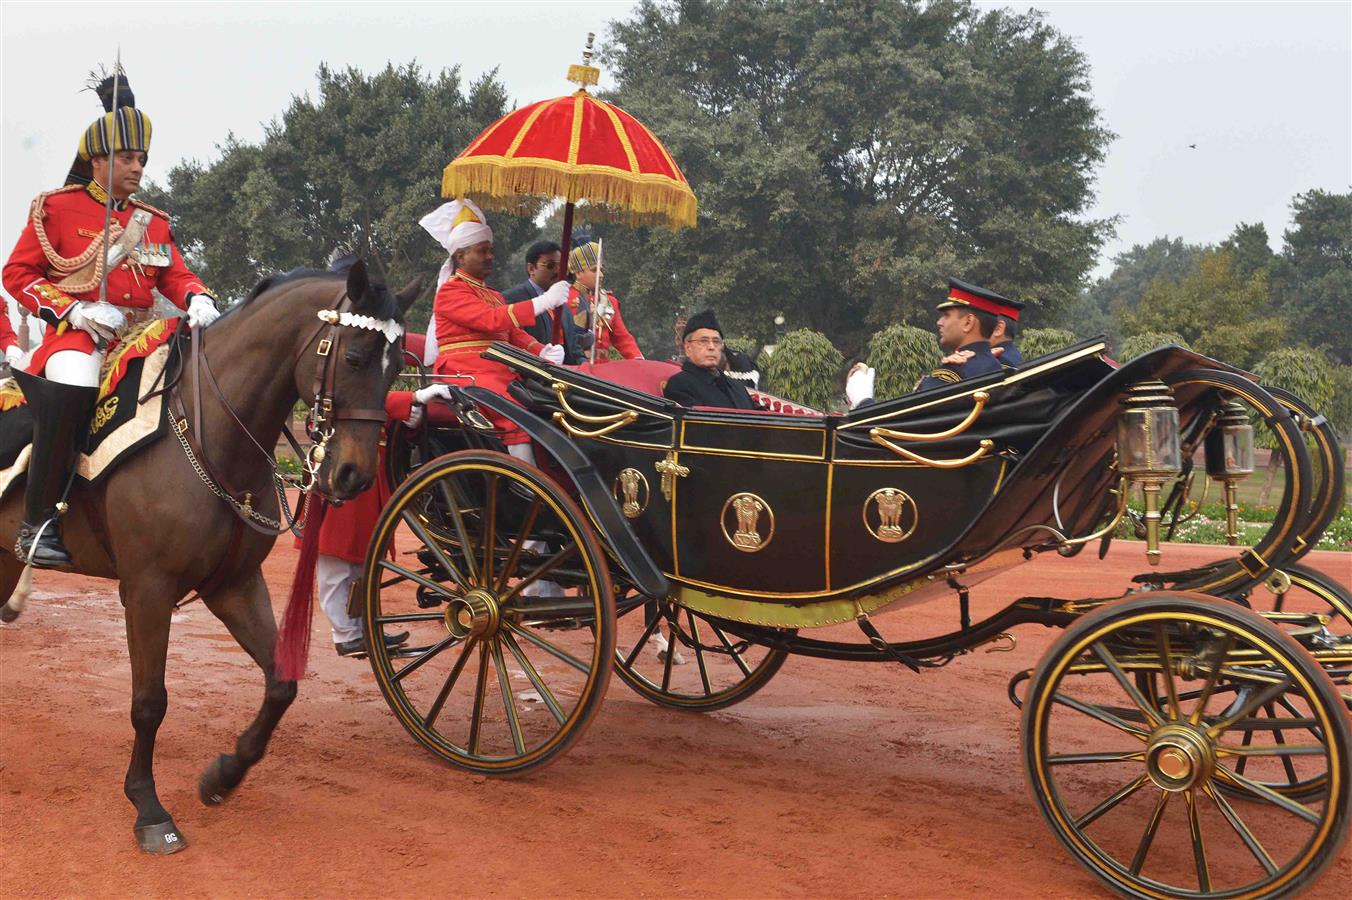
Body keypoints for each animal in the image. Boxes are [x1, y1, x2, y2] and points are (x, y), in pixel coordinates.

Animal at [0, 259, 416, 848]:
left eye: (398, 365)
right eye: (355, 358)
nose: (355, 475)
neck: (211, 433)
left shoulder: (234, 585)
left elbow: (282, 683)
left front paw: (224, 775)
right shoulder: (147, 590)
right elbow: (150, 702)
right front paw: (149, 807)